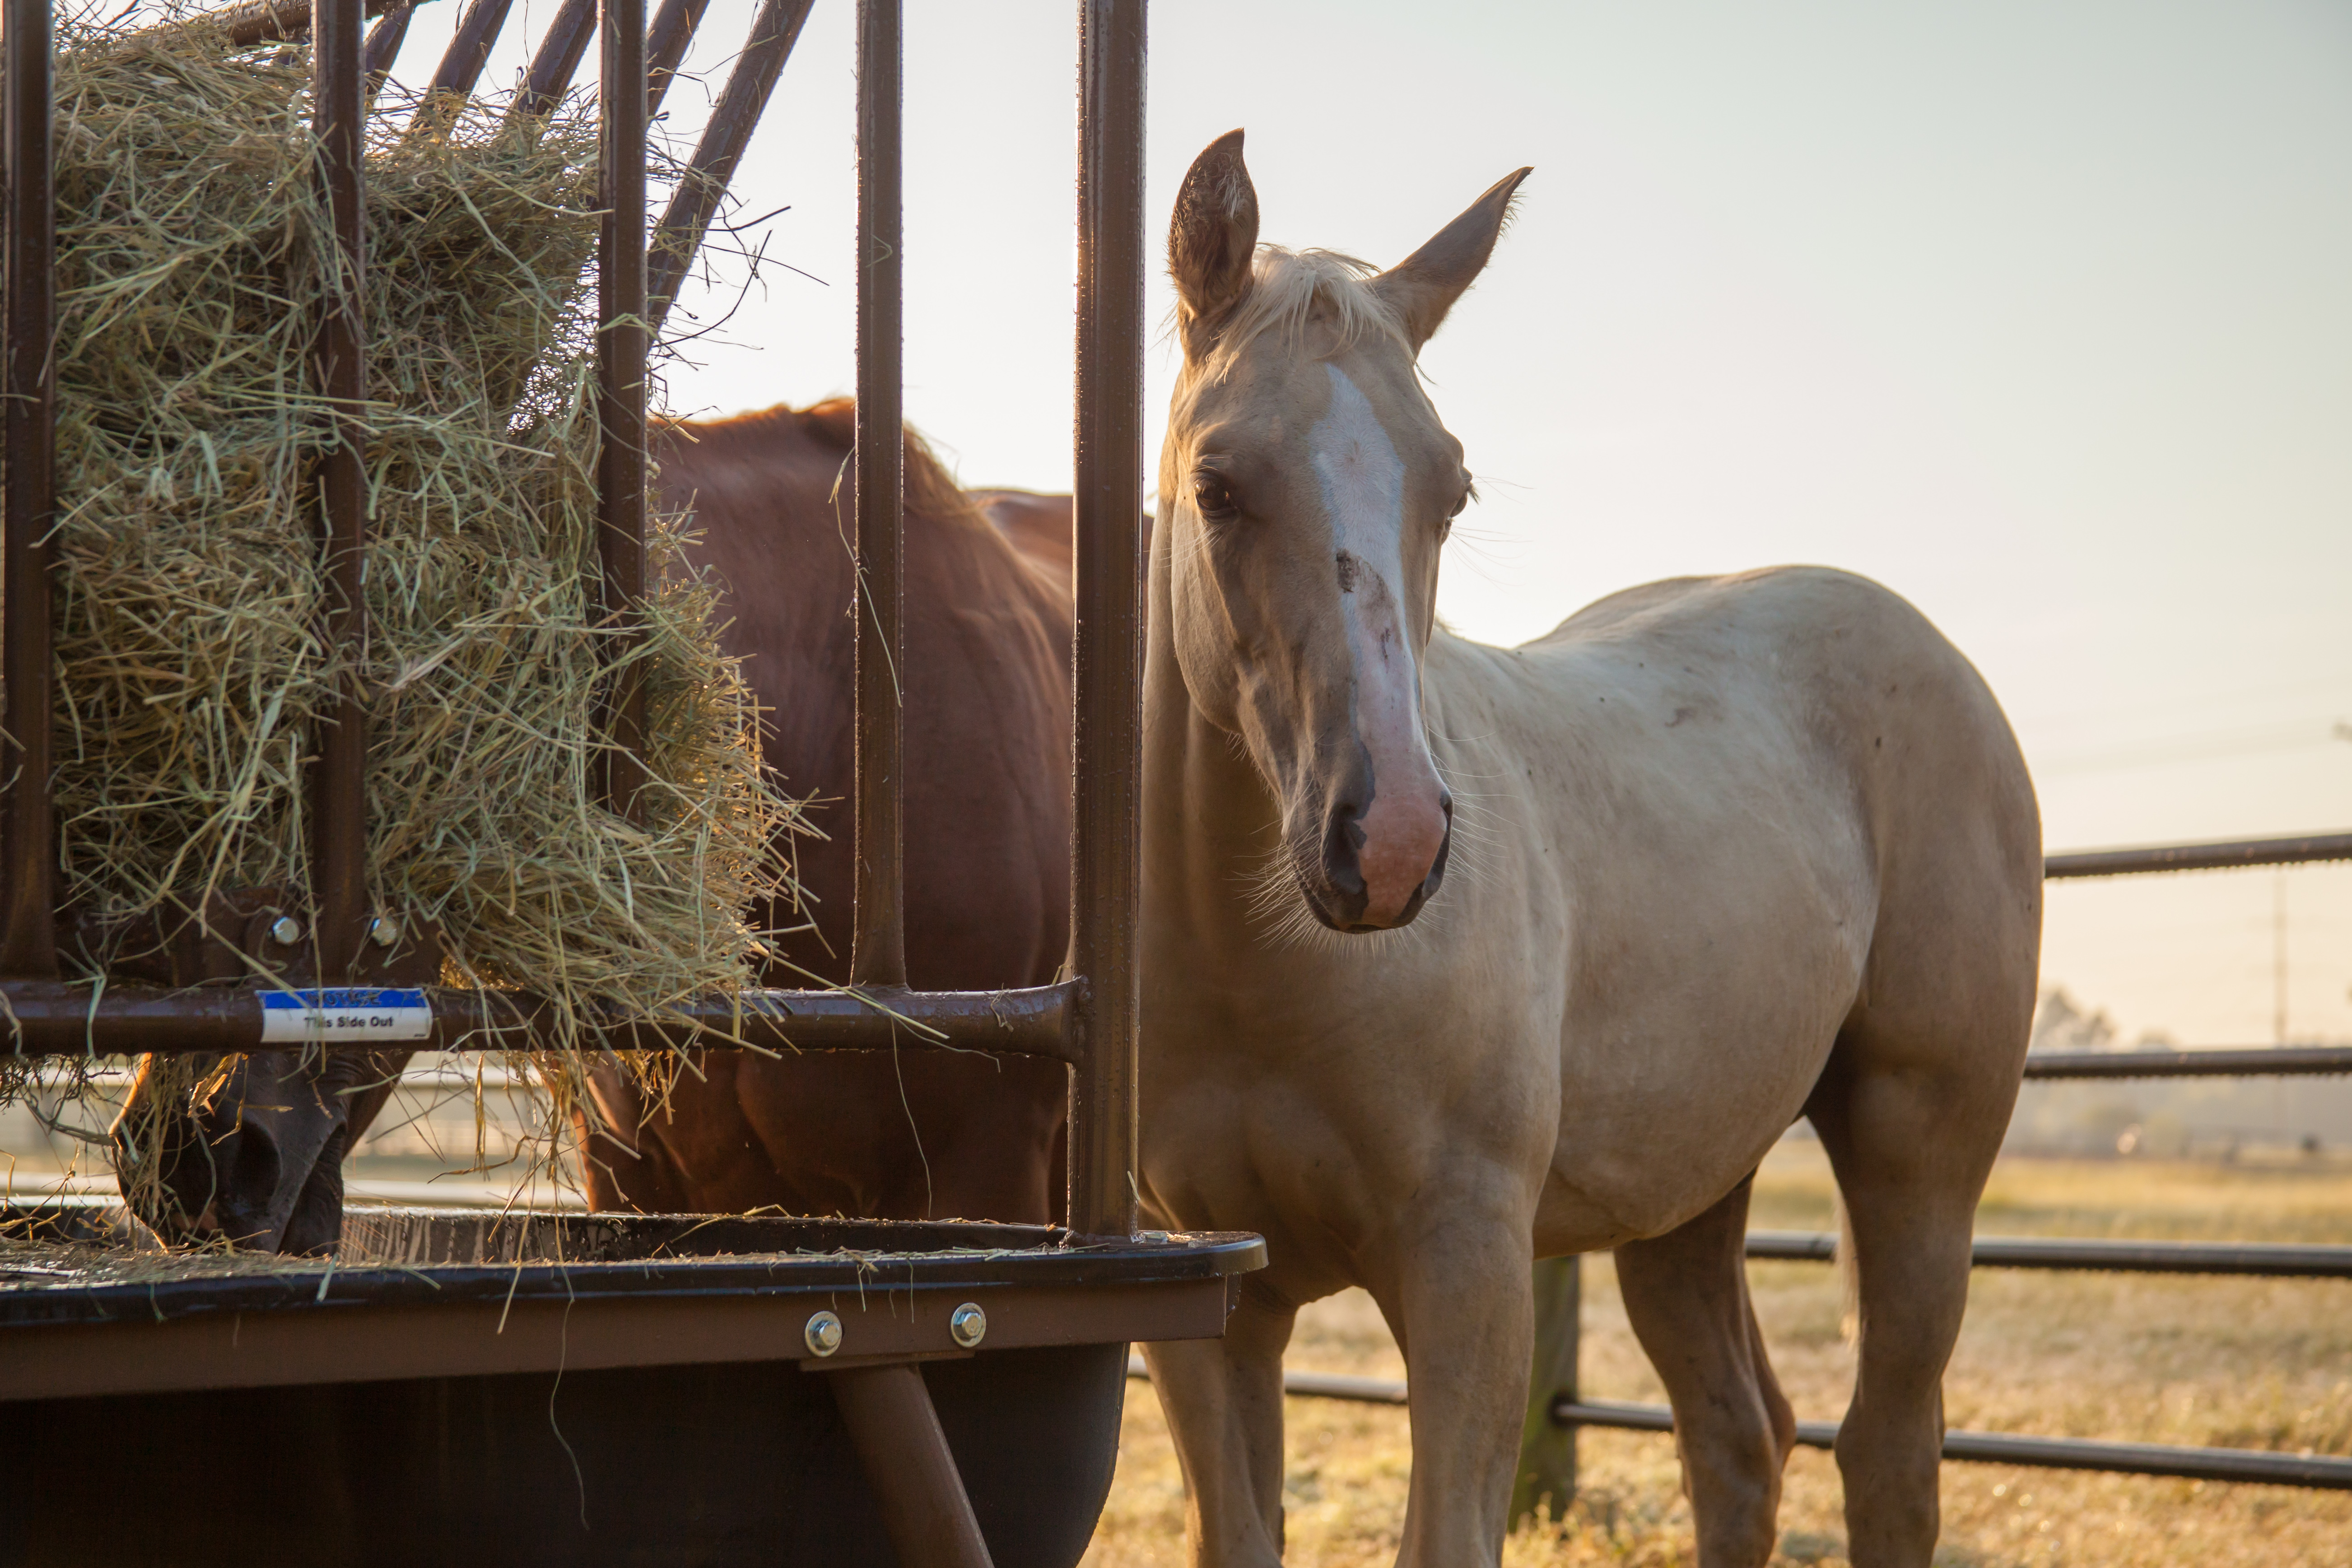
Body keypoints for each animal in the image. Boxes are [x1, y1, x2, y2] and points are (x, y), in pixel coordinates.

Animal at [1133, 130, 2040, 1568]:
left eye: (1451, 488)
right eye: (1218, 485)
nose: (1392, 843)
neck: (1254, 967)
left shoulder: (1468, 1269)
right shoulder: (1210, 1307)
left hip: (1920, 1156)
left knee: (1887, 1454)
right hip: (1688, 1197)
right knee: (1742, 1442)